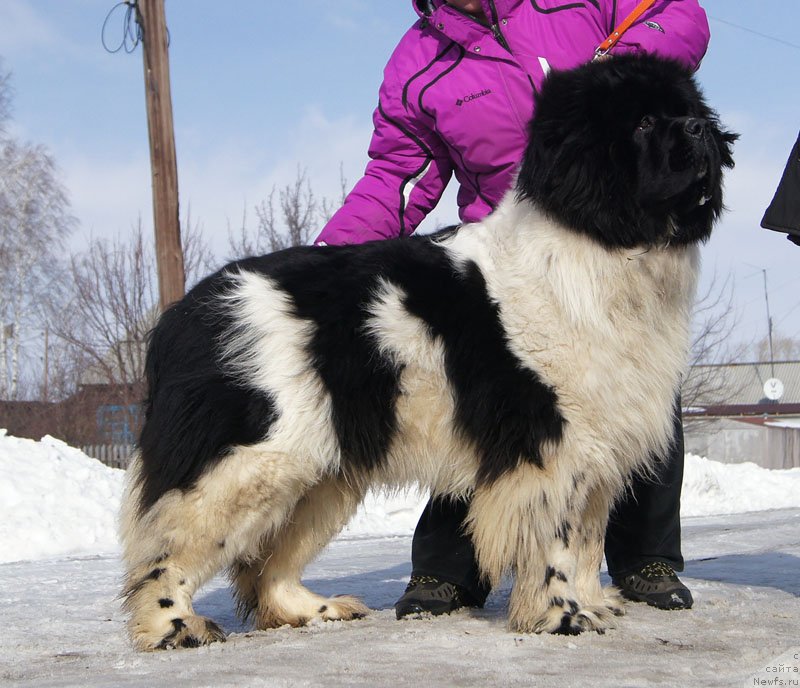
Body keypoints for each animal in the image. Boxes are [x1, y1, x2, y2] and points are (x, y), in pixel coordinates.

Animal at [120, 55, 736, 652]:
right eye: (644, 122)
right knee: (169, 548)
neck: (601, 243)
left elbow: (587, 540)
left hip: (321, 474)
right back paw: (174, 627)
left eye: (687, 109)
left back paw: (313, 610)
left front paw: (592, 604)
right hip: (251, 465)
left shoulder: (598, 450)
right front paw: (563, 616)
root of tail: (181, 315)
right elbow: (557, 544)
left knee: (268, 561)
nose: (701, 129)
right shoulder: (550, 446)